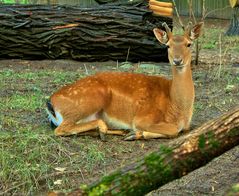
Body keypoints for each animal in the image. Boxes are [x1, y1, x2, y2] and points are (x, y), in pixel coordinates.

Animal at [46, 22, 204, 140]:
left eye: (189, 44)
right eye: (168, 45)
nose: (177, 60)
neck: (178, 108)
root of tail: (51, 102)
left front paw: (134, 134)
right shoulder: (142, 118)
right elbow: (173, 130)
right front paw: (137, 133)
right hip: (88, 101)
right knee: (61, 129)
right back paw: (107, 129)